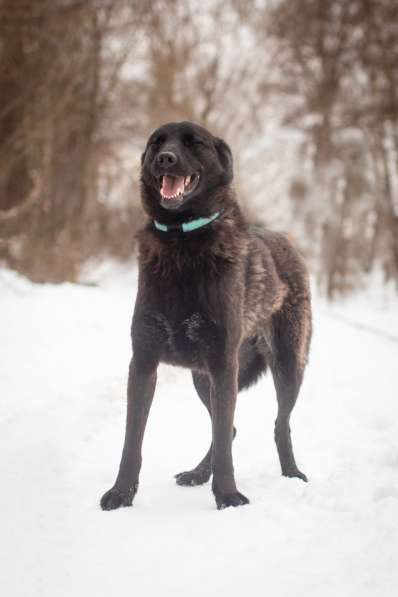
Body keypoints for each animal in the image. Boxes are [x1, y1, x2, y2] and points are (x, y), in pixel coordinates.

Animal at [100, 122, 310, 512]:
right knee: (230, 428)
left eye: (193, 142)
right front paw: (121, 493)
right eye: (157, 142)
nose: (166, 159)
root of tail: (283, 238)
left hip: (288, 366)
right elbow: (131, 440)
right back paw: (198, 474)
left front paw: (227, 495)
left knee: (279, 424)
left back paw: (292, 474)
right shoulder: (144, 362)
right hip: (203, 379)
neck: (182, 241)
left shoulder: (223, 366)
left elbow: (226, 443)